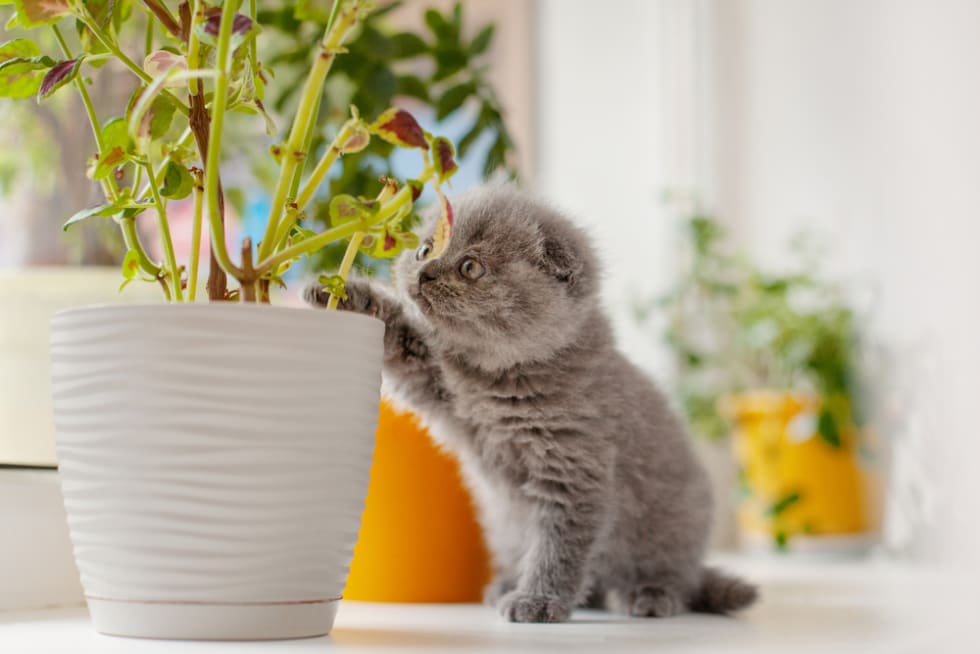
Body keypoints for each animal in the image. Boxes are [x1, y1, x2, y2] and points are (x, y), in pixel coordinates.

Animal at [306, 184, 756, 624]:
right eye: (424, 249)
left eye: (470, 268)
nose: (424, 272)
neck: (497, 381)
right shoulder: (436, 383)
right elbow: (398, 339)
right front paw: (338, 292)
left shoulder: (573, 471)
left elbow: (558, 545)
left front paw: (539, 600)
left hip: (670, 529)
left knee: (677, 578)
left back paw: (651, 594)